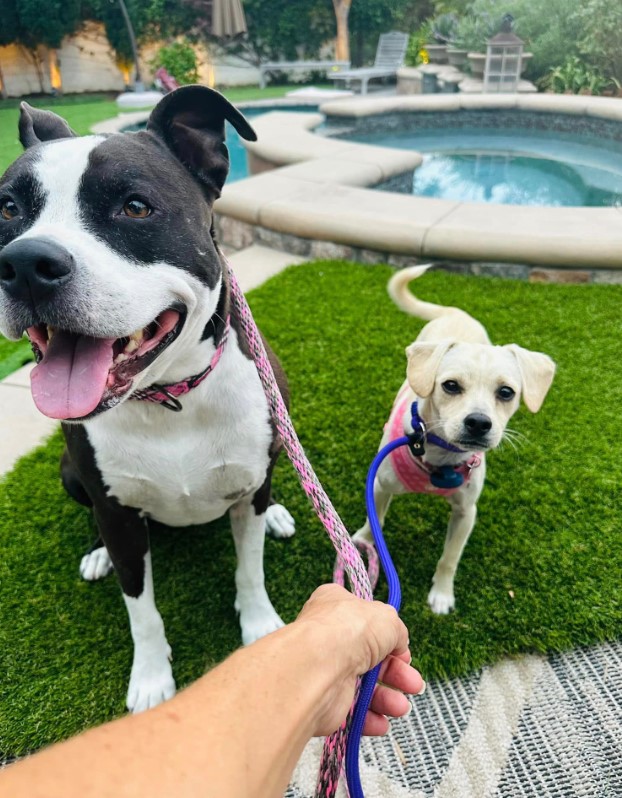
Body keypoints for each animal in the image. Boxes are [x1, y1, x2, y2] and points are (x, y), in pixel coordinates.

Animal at [0, 86, 296, 712]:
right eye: (8, 209)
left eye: (135, 207)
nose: (25, 263)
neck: (169, 397)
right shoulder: (118, 516)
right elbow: (142, 610)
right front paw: (152, 678)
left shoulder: (250, 481)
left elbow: (250, 569)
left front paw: (260, 628)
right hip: (70, 473)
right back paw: (96, 555)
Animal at [354, 266, 560, 616]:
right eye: (450, 386)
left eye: (506, 392)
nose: (478, 423)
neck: (440, 457)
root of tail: (455, 312)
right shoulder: (379, 487)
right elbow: (375, 521)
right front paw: (366, 541)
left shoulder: (466, 512)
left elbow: (450, 557)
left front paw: (442, 594)